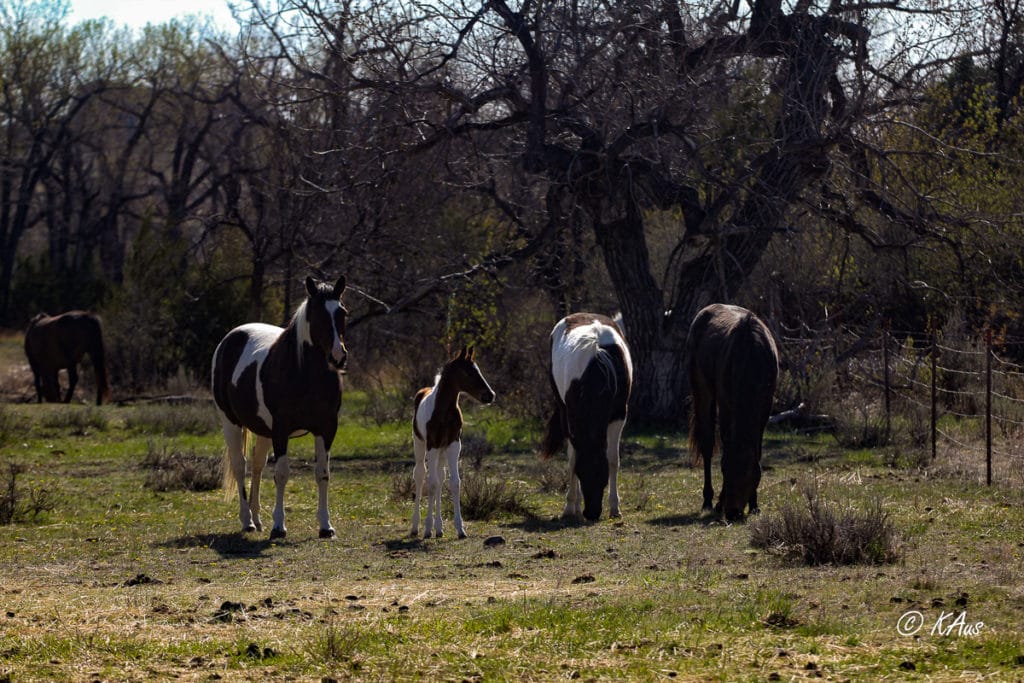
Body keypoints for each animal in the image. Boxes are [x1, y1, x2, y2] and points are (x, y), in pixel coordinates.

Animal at [210, 276, 348, 540]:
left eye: (342, 313)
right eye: (316, 314)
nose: (338, 356)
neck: (305, 373)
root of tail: (229, 340)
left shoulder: (326, 428)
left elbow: (322, 474)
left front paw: (326, 526)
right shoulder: (282, 430)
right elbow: (282, 474)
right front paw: (279, 527)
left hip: (264, 431)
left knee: (257, 466)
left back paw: (256, 519)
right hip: (230, 423)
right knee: (240, 465)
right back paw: (247, 521)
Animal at [411, 348, 499, 540]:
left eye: (478, 369)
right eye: (468, 372)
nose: (490, 395)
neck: (443, 410)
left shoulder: (454, 445)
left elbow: (454, 483)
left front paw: (460, 529)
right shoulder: (432, 445)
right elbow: (431, 483)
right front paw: (427, 529)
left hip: (442, 451)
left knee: (440, 477)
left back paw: (439, 529)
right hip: (420, 445)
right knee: (421, 475)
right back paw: (415, 527)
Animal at [536, 313, 630, 520]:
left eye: (602, 476)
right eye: (581, 473)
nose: (592, 513)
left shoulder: (619, 415)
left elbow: (613, 459)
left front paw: (615, 507)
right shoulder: (572, 417)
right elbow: (573, 459)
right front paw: (570, 506)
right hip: (563, 409)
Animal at [688, 301, 774, 520]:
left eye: (753, 475)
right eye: (725, 470)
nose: (733, 512)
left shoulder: (765, 408)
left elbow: (757, 451)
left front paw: (754, 504)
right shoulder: (727, 405)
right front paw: (719, 502)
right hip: (702, 391)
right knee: (707, 445)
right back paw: (708, 500)